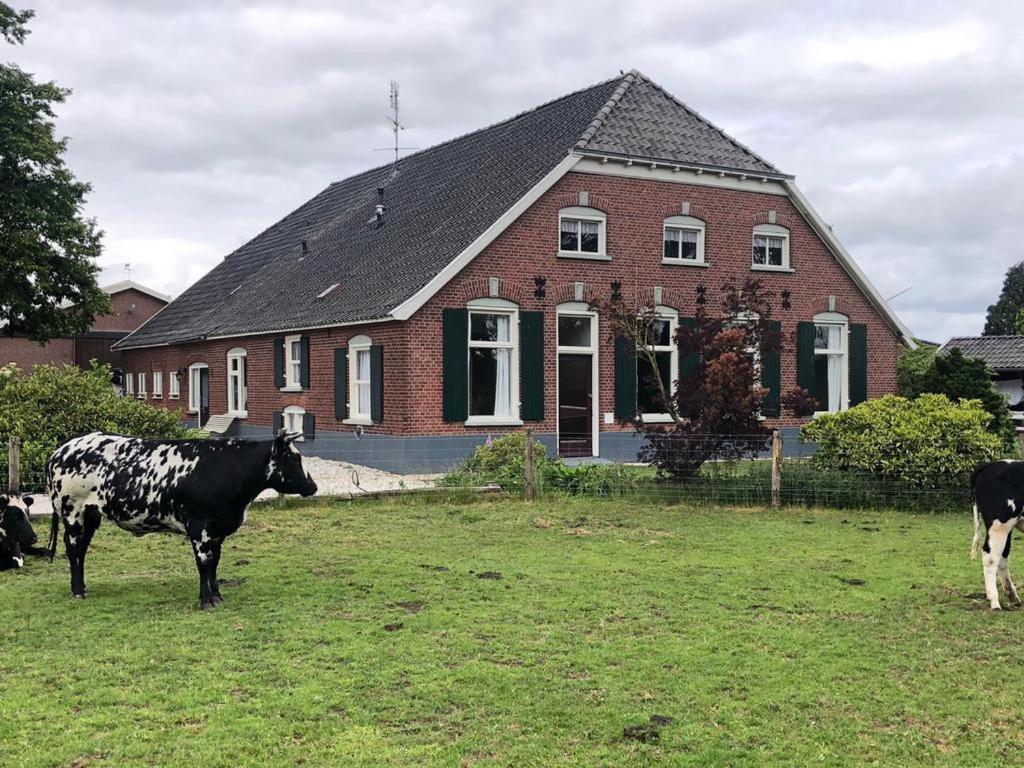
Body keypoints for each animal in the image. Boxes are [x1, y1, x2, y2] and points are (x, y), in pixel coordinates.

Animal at [46, 430, 315, 610]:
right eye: (293, 458)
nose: (313, 486)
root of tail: (61, 450)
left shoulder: (217, 529)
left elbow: (215, 563)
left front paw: (217, 595)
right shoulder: (199, 526)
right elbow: (204, 563)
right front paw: (207, 600)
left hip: (91, 514)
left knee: (81, 550)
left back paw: (82, 588)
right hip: (73, 512)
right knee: (73, 549)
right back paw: (77, 591)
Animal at [966, 462, 1024, 614]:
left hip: (1008, 527)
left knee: (1002, 557)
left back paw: (1013, 597)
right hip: (1000, 525)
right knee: (990, 557)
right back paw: (995, 602)